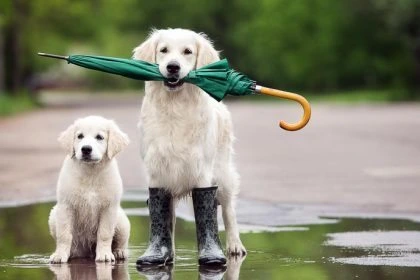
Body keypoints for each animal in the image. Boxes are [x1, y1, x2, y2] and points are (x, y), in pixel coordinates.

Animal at [48, 115, 130, 262]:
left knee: (121, 241)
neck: (90, 173)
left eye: (99, 137)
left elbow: (104, 233)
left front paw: (104, 255)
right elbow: (64, 234)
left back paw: (119, 252)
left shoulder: (109, 208)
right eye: (80, 136)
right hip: (53, 215)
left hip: (121, 221)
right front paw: (60, 255)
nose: (86, 149)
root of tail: (86, 253)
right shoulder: (65, 205)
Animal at [135, 28, 246, 266]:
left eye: (187, 51)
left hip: (223, 174)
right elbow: (161, 215)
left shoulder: (201, 170)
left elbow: (207, 210)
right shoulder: (157, 171)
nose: (172, 67)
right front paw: (159, 253)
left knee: (229, 211)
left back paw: (235, 246)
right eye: (163, 50)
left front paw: (211, 253)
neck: (175, 106)